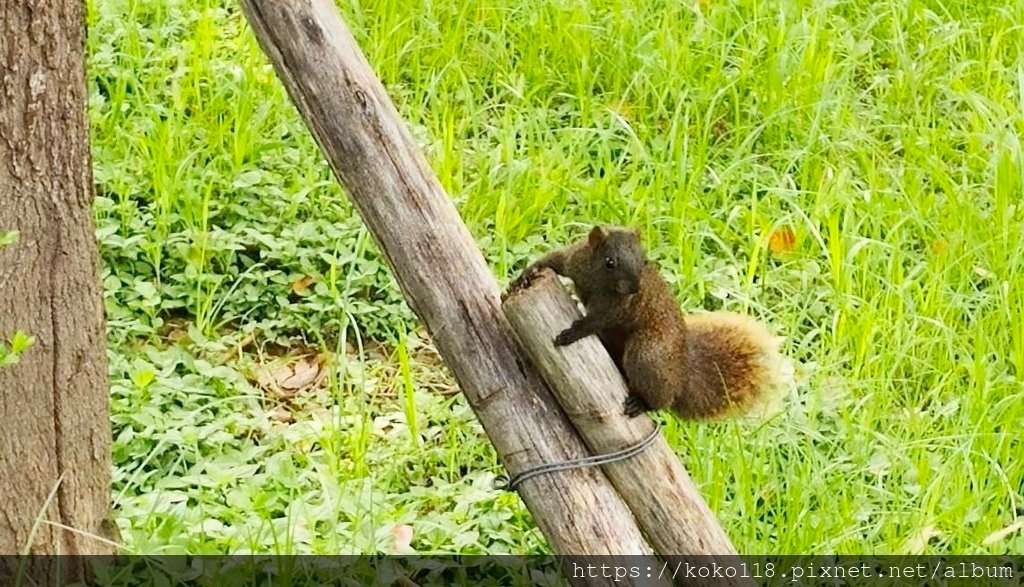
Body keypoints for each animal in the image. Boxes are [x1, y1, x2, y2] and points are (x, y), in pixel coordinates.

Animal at [509, 225, 782, 422]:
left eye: (644, 260)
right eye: (610, 261)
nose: (634, 288)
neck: (599, 281)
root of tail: (682, 370)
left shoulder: (619, 306)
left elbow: (599, 318)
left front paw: (574, 332)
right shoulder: (575, 259)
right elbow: (554, 261)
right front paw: (525, 276)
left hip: (648, 354)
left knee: (662, 399)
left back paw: (642, 404)